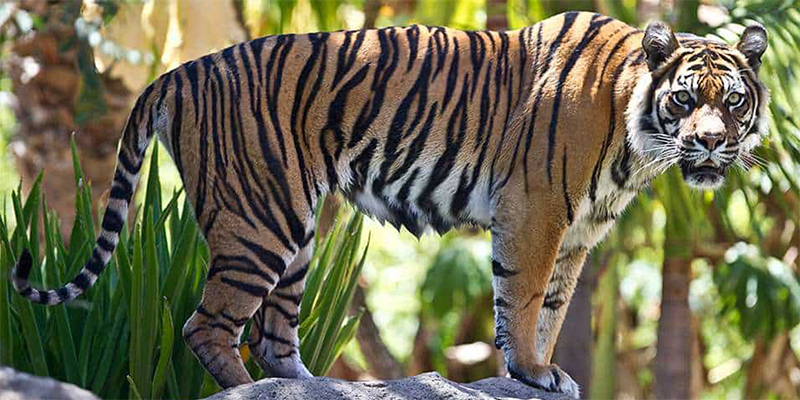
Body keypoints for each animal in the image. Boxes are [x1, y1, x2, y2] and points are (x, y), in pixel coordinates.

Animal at [12, 11, 768, 397]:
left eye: (732, 101)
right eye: (685, 99)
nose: (710, 142)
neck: (635, 141)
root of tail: (179, 70)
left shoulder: (578, 235)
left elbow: (551, 309)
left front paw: (541, 370)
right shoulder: (536, 211)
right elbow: (523, 302)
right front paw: (530, 372)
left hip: (297, 232)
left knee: (273, 333)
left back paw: (318, 386)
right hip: (260, 220)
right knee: (209, 326)